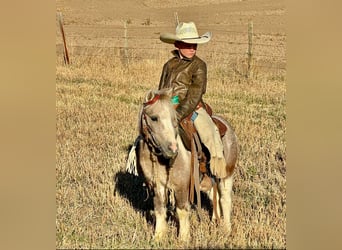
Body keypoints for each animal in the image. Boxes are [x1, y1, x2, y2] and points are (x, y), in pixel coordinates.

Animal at [134, 88, 238, 242]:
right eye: (154, 118)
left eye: (174, 119)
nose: (173, 149)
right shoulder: (156, 184)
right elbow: (159, 209)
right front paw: (158, 237)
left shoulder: (182, 185)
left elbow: (181, 210)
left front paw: (183, 238)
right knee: (214, 196)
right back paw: (215, 220)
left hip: (226, 175)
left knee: (225, 199)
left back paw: (226, 229)